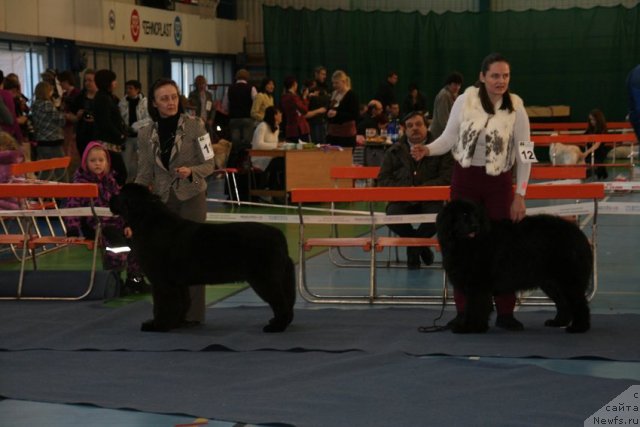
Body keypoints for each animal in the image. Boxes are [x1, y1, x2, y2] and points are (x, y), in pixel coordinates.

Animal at [110, 184, 298, 334]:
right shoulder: (178, 283)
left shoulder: (162, 282)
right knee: (286, 301)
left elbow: (164, 304)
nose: (111, 197)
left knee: (280, 302)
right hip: (280, 278)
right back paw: (277, 323)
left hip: (265, 279)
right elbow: (182, 303)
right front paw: (176, 323)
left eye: (119, 193)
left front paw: (158, 325)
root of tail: (279, 235)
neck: (147, 218)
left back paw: (275, 327)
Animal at [438, 200, 592, 334]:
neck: (468, 243)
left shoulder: (478, 284)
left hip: (568, 279)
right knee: (563, 303)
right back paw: (558, 322)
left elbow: (475, 307)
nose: (476, 226)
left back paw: (578, 327)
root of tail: (577, 232)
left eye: (476, 216)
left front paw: (470, 328)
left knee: (579, 303)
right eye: (464, 215)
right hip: (551, 282)